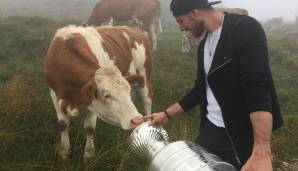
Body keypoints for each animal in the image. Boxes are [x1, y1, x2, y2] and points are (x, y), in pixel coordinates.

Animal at [43, 25, 152, 163]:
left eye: (127, 90)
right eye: (106, 95)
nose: (136, 119)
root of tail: (134, 29)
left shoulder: (93, 105)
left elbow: (89, 128)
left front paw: (89, 155)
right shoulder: (54, 95)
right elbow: (63, 124)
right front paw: (64, 152)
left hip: (145, 76)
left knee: (147, 103)